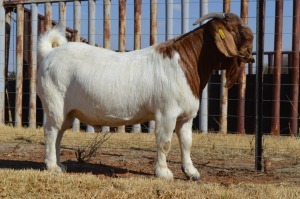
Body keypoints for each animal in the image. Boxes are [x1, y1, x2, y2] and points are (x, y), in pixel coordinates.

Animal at [37, 12, 253, 180]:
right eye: (233, 29)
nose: (251, 51)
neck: (186, 63)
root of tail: (49, 53)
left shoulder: (186, 116)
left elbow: (187, 142)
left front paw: (191, 172)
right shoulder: (167, 113)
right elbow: (164, 142)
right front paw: (164, 173)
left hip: (68, 111)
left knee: (59, 133)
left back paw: (59, 164)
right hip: (54, 102)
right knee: (51, 131)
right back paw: (52, 166)